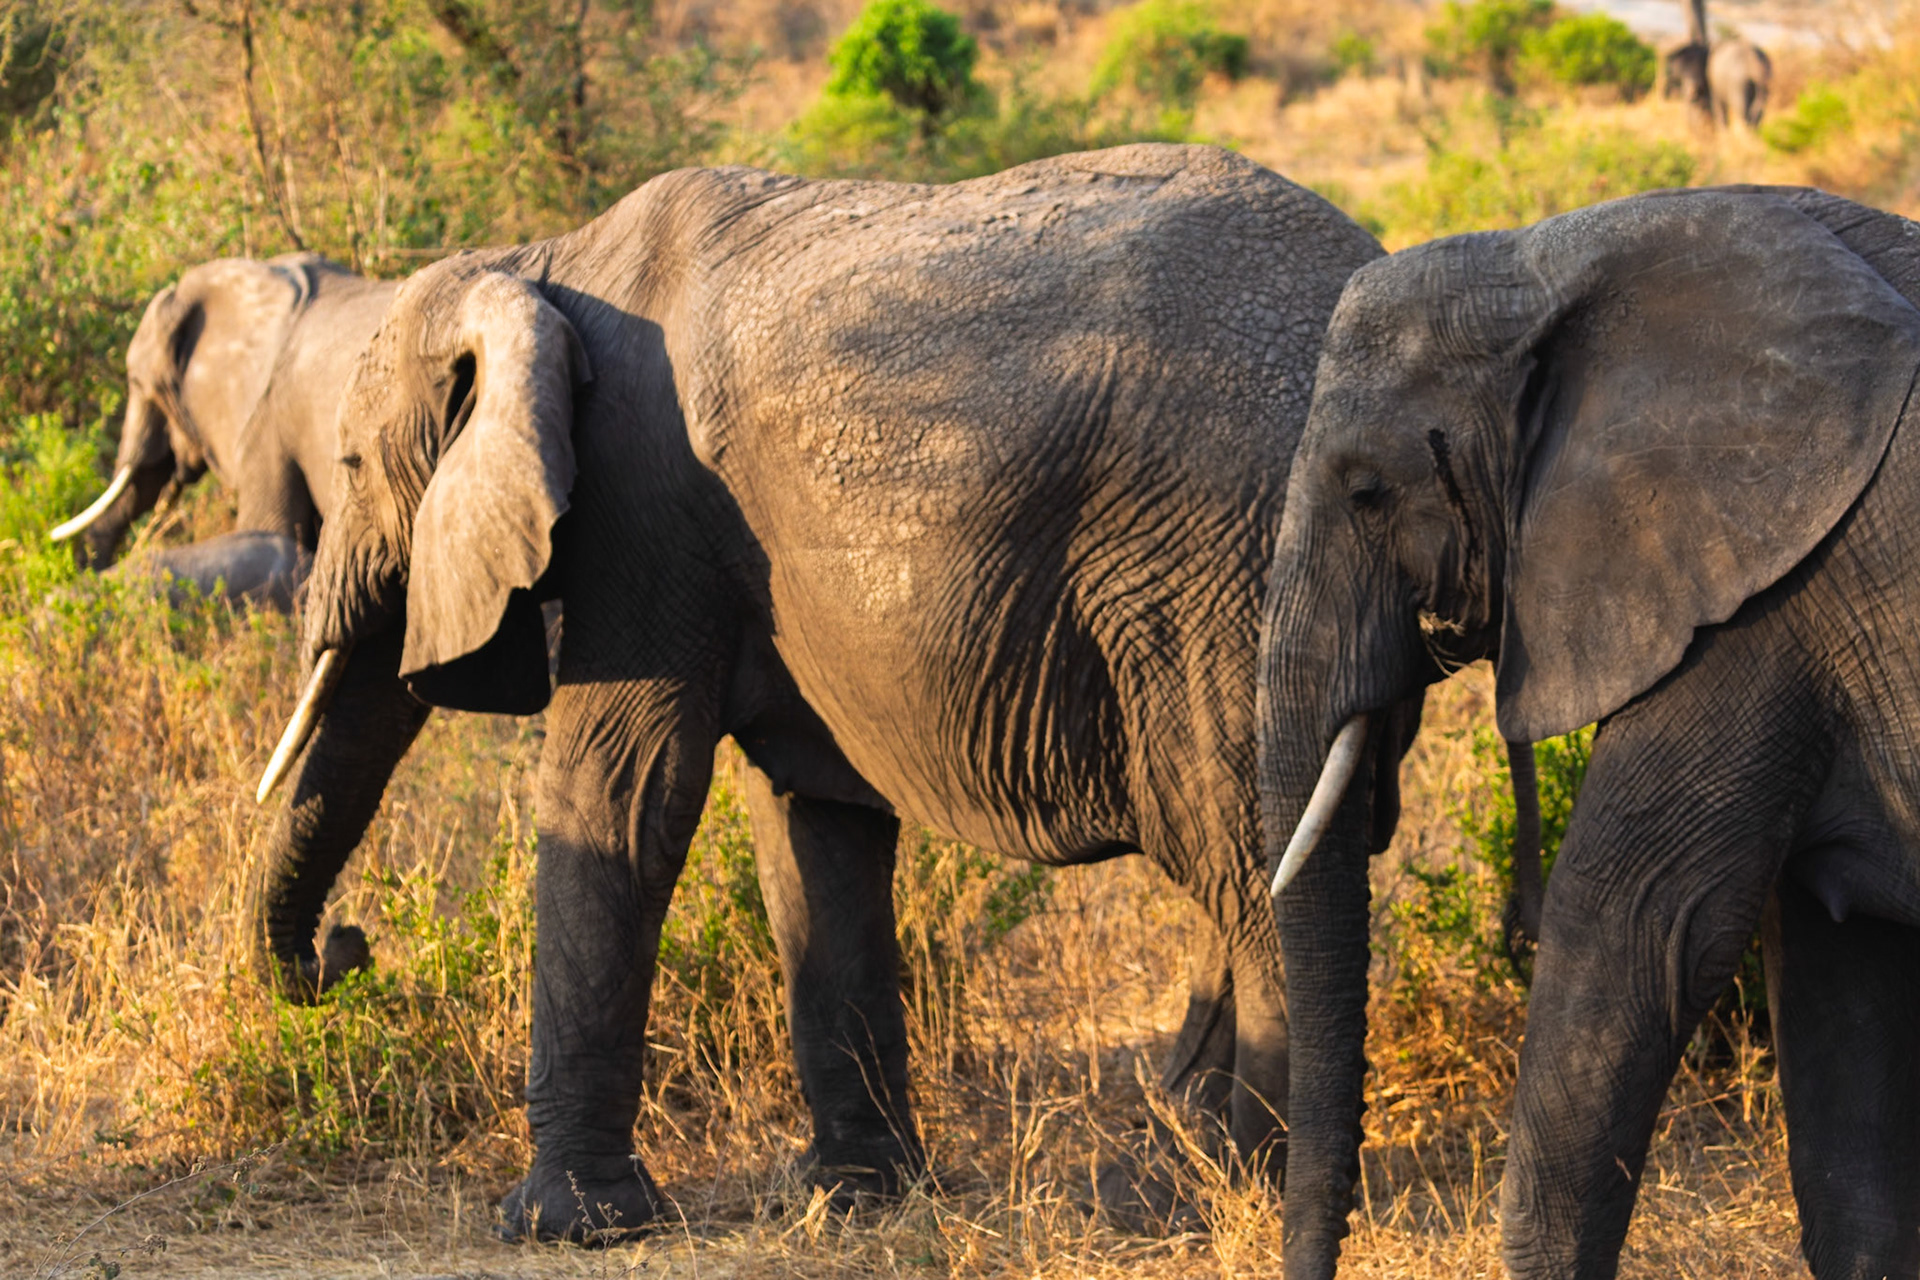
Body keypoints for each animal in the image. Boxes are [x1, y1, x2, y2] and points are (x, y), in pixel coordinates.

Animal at [250, 143, 1391, 1241]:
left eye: (349, 465)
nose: (346, 948)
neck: (540, 264)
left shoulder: (641, 510)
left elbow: (617, 797)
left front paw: (564, 1226)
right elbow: (813, 826)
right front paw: (853, 1198)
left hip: (1215, 570)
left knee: (1249, 867)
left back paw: (1215, 1201)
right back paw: (1173, 1179)